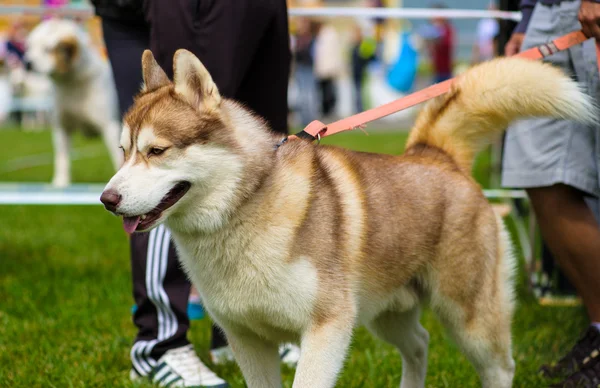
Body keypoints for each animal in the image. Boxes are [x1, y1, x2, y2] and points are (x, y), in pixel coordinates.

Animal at [25, 18, 121, 188]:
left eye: (47, 49)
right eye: (30, 46)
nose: (27, 63)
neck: (72, 83)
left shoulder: (110, 127)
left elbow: (119, 159)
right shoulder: (62, 127)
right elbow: (61, 158)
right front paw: (60, 182)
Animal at [101, 49, 592, 388]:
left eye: (157, 151)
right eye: (124, 152)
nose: (107, 198)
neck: (243, 212)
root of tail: (435, 154)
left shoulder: (326, 329)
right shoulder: (248, 340)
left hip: (469, 317)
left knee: (499, 367)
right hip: (387, 313)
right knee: (419, 344)